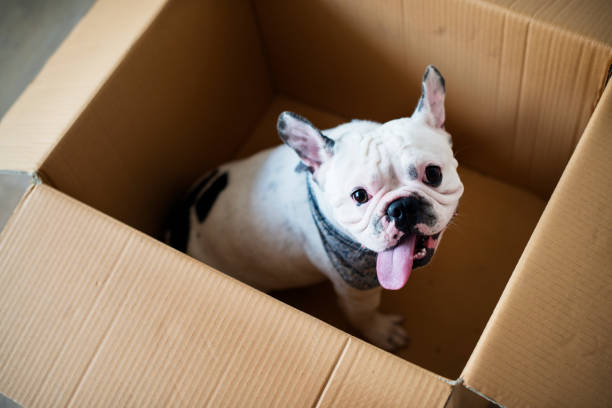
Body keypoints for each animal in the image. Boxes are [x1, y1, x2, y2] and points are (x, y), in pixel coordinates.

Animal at [165, 65, 462, 350]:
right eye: (359, 195)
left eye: (433, 173)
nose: (401, 207)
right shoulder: (354, 289)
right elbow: (363, 314)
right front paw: (382, 332)